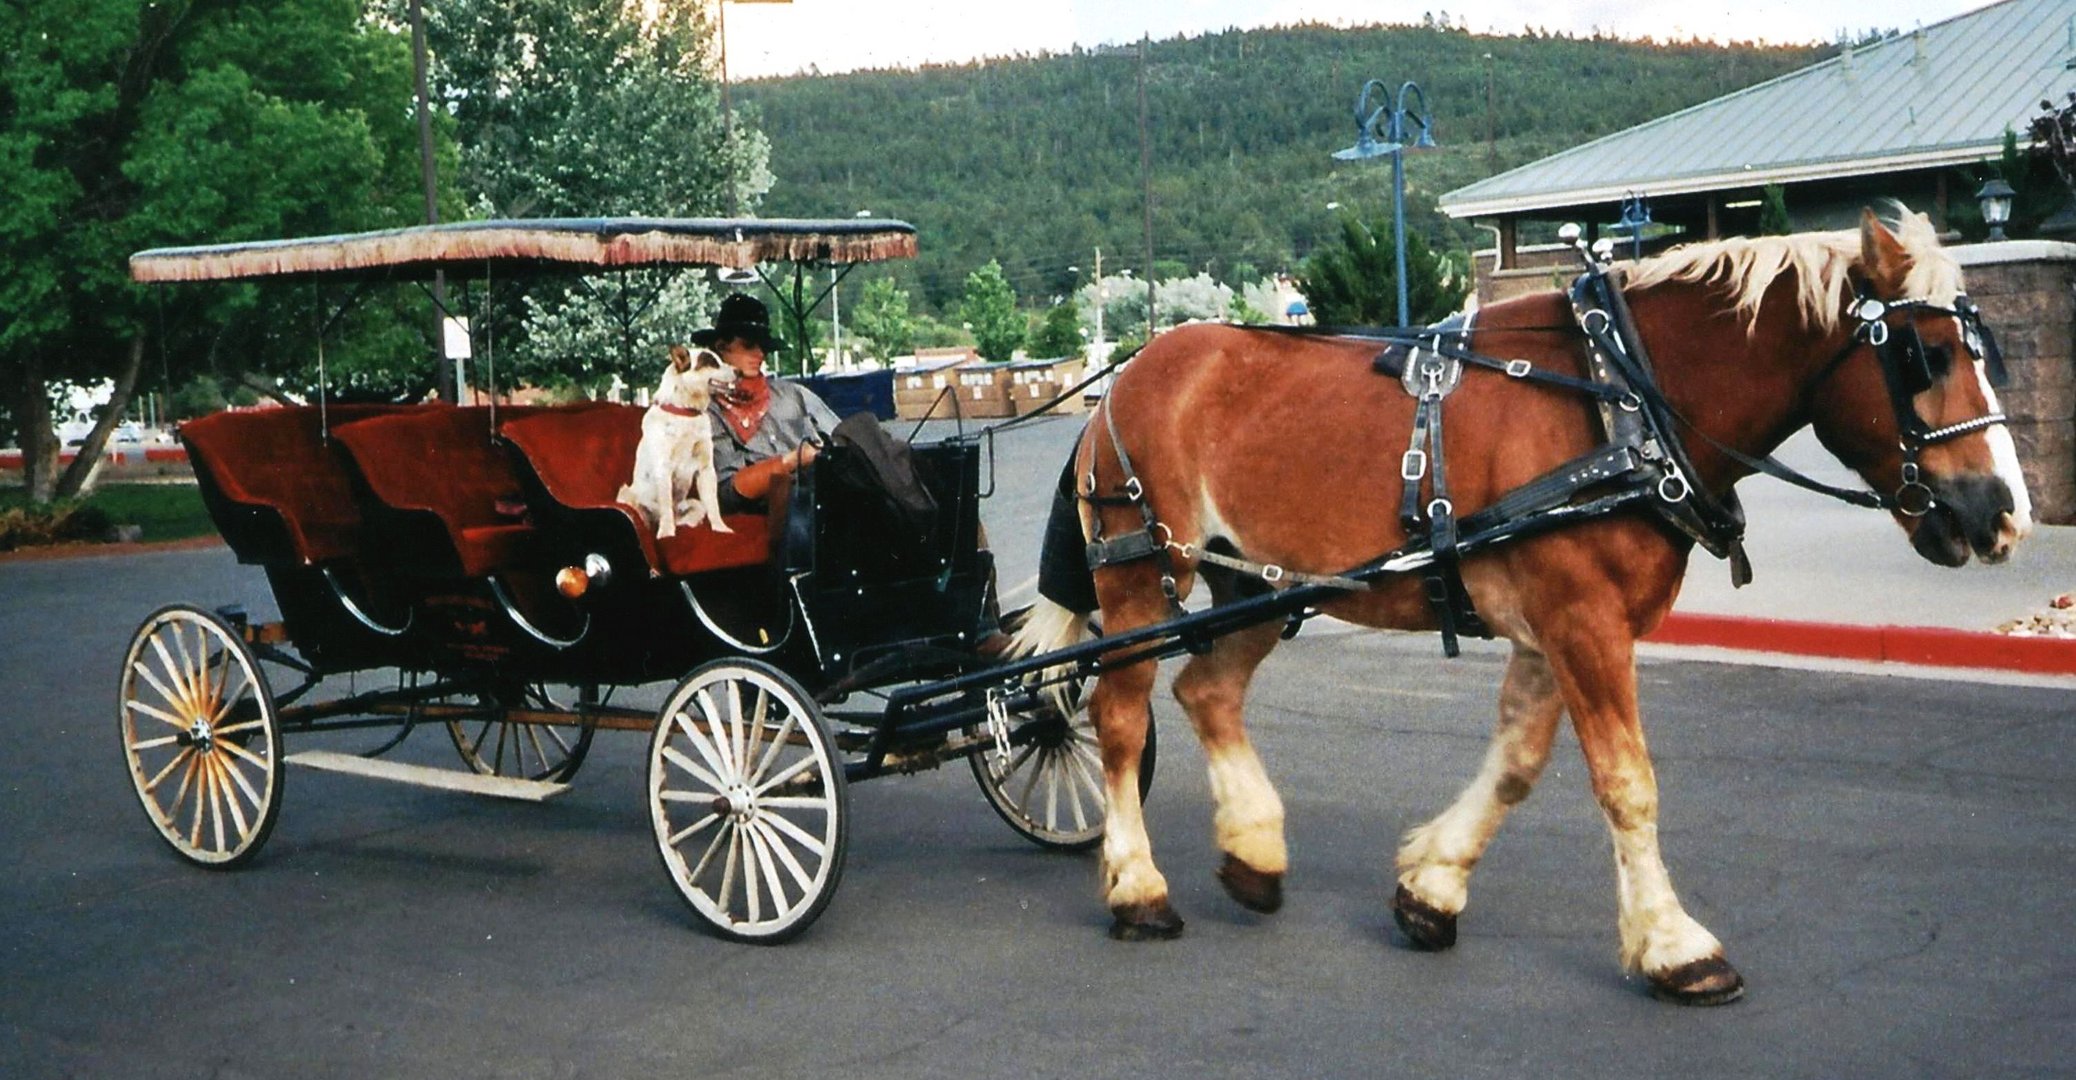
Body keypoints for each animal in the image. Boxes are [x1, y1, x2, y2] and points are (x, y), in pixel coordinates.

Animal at [614, 346, 739, 540]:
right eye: (712, 362)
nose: (739, 371)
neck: (686, 413)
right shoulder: (663, 469)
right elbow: (665, 505)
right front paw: (666, 534)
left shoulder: (706, 470)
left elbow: (713, 504)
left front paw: (720, 528)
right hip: (626, 494)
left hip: (695, 504)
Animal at [1013, 208, 2034, 1005]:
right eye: (1926, 355)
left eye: (1986, 353)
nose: (2001, 515)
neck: (1624, 398)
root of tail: (1130, 375)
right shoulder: (1583, 620)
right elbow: (1627, 783)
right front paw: (1676, 947)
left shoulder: (1556, 629)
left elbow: (1515, 767)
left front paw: (1431, 888)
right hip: (1143, 576)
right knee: (1120, 716)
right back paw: (1139, 890)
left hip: (1255, 586)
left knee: (1208, 693)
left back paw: (1254, 855)